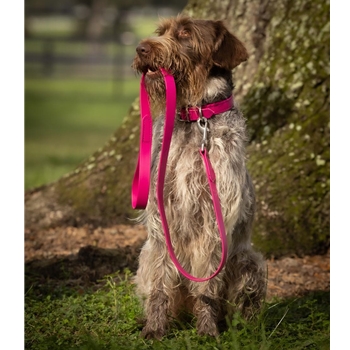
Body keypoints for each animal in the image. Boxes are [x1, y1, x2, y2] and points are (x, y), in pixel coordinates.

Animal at [131, 16, 266, 340]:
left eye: (185, 33)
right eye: (161, 32)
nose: (141, 48)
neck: (195, 118)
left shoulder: (213, 223)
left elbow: (207, 286)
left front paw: (207, 330)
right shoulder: (161, 221)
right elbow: (160, 286)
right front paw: (154, 328)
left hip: (249, 262)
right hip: (145, 257)